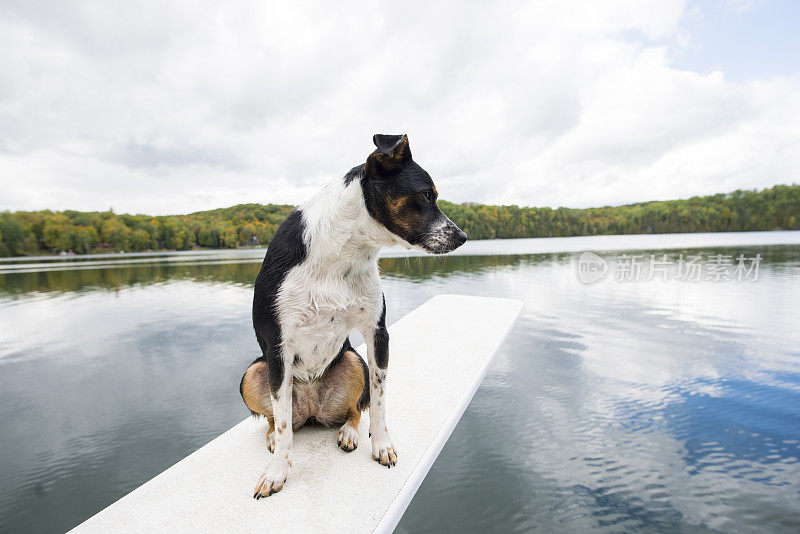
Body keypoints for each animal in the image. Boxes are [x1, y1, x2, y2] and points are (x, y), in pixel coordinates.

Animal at [241, 133, 466, 498]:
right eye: (425, 195)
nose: (463, 236)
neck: (342, 252)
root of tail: (313, 412)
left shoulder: (377, 333)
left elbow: (379, 401)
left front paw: (382, 446)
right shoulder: (278, 348)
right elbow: (284, 422)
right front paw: (277, 472)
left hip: (352, 360)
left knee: (353, 409)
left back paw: (347, 432)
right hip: (255, 372)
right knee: (280, 419)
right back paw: (274, 438)